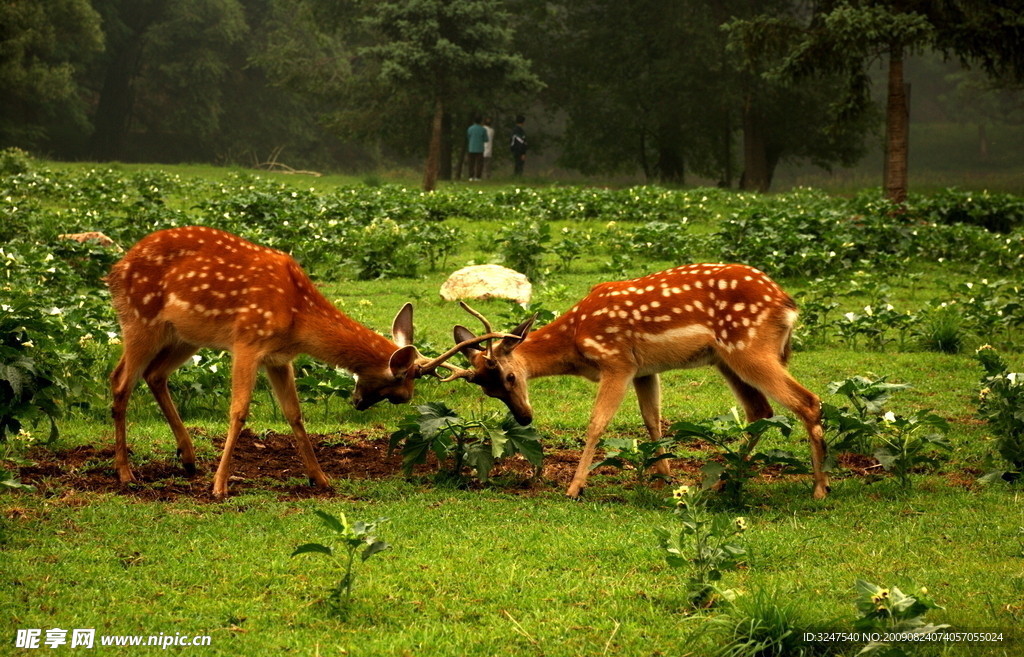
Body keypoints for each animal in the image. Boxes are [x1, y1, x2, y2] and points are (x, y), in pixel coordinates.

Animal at [107, 225, 499, 495]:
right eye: (399, 391)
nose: (358, 402)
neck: (298, 319)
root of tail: (114, 270)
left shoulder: (278, 357)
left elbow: (294, 413)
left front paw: (320, 478)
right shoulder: (248, 340)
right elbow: (239, 411)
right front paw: (220, 486)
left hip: (184, 335)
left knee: (154, 375)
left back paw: (187, 459)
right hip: (141, 319)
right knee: (121, 380)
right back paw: (125, 473)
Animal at [448, 260, 831, 495]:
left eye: (511, 377)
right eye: (489, 390)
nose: (525, 417)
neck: (576, 341)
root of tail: (788, 305)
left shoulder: (617, 362)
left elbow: (597, 423)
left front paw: (575, 488)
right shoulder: (645, 371)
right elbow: (652, 420)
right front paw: (666, 478)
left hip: (749, 347)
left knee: (808, 401)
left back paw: (820, 488)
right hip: (727, 359)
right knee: (760, 411)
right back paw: (722, 483)